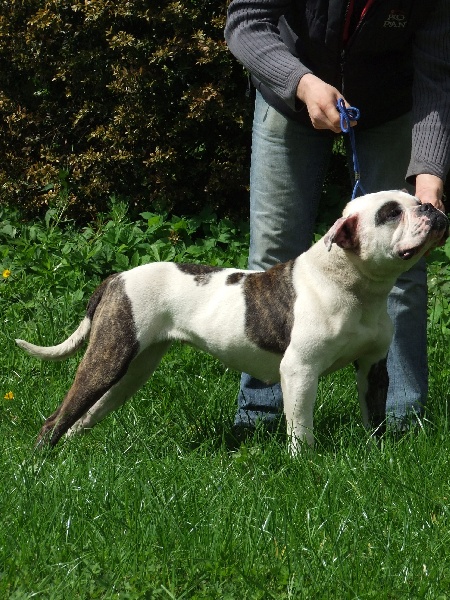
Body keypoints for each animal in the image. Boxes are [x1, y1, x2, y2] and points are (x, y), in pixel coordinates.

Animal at [16, 191, 448, 454]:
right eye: (391, 213)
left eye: (414, 200)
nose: (430, 205)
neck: (356, 286)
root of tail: (117, 277)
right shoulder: (300, 370)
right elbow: (300, 426)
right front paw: (303, 462)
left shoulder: (373, 366)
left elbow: (374, 414)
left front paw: (378, 450)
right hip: (108, 360)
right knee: (58, 416)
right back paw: (40, 463)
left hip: (131, 370)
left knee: (85, 414)